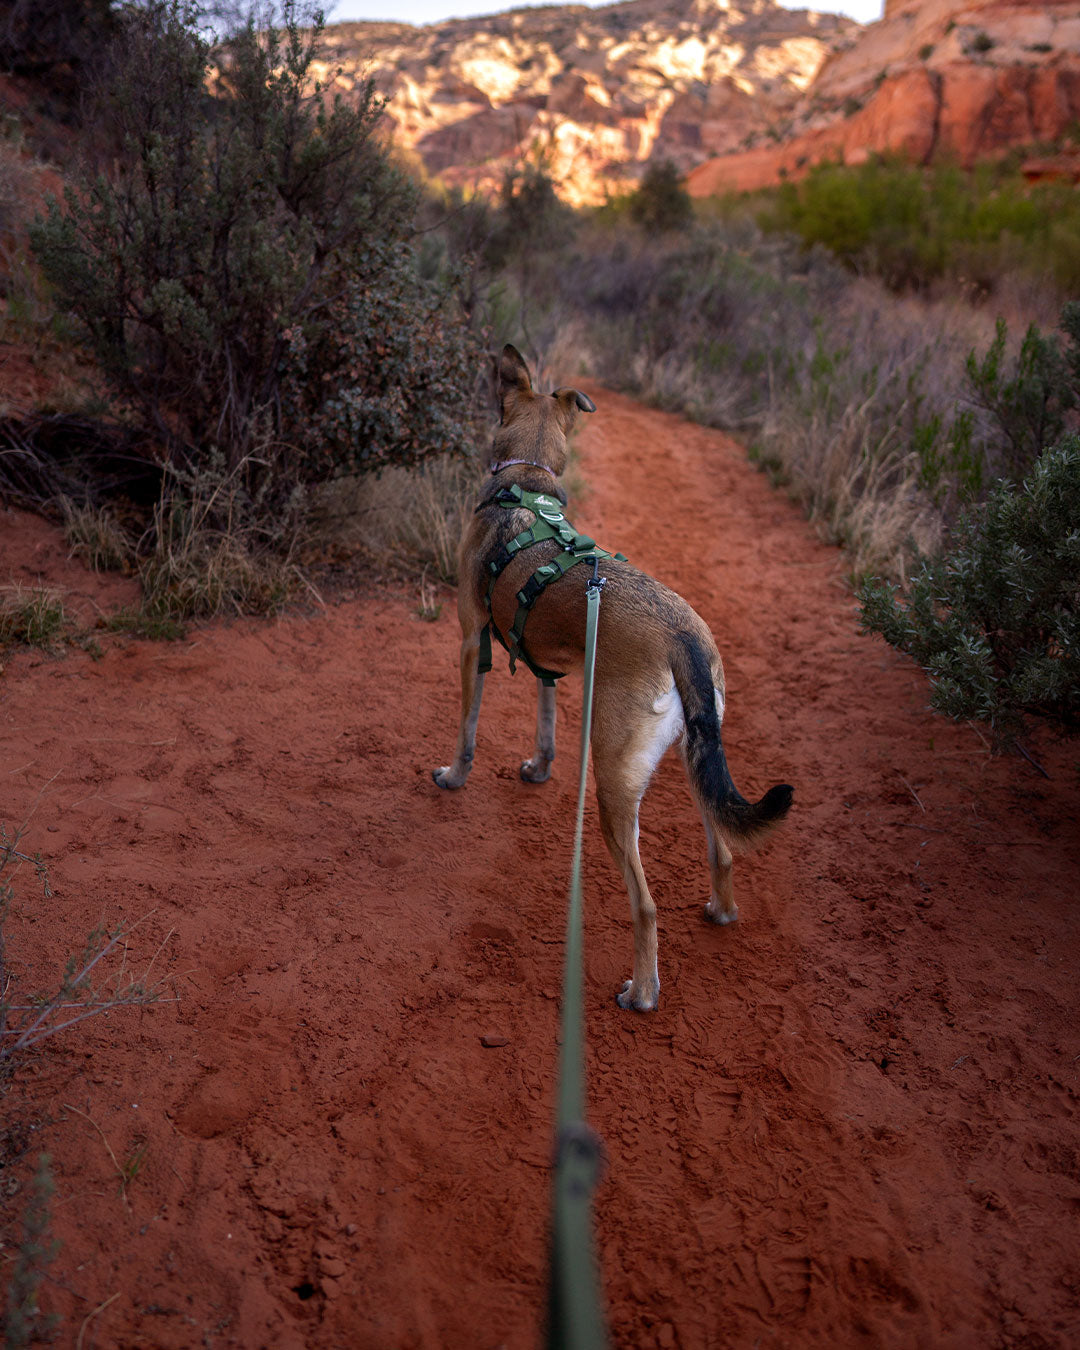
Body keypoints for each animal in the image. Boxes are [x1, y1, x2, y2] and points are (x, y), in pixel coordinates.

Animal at [432, 342, 793, 1009]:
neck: (527, 487)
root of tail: (682, 636)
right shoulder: (545, 661)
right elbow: (546, 722)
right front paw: (539, 767)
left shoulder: (471, 642)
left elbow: (467, 727)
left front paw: (454, 776)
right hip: (695, 759)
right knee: (724, 851)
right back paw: (721, 912)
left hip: (612, 785)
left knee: (646, 907)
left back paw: (643, 990)